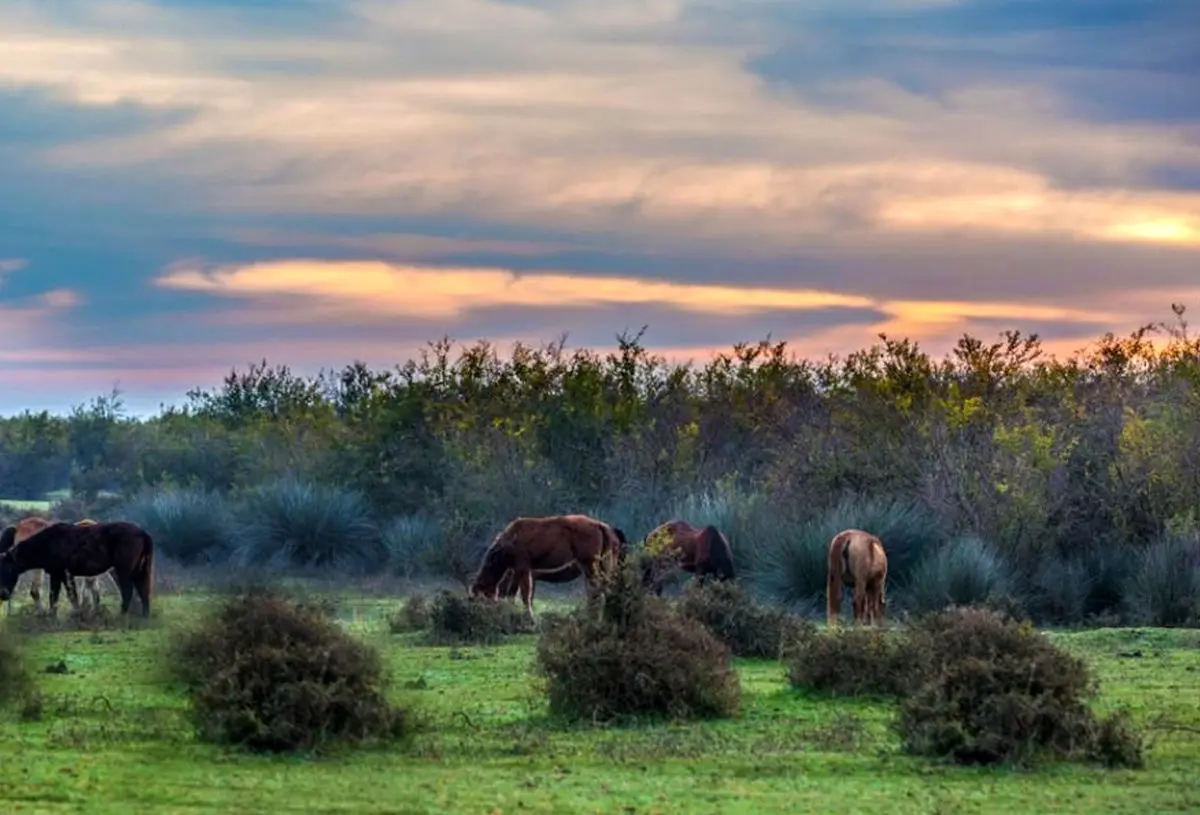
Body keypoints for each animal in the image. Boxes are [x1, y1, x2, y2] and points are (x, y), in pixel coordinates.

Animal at [0, 523, 154, 619]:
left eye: (8, 569)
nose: (3, 595)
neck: (46, 544)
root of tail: (144, 533)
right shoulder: (59, 574)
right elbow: (60, 596)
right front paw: (58, 616)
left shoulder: (62, 573)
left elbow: (65, 595)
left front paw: (70, 615)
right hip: (140, 569)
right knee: (143, 590)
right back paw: (145, 616)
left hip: (125, 570)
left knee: (128, 591)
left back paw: (121, 616)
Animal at [465, 513, 624, 619]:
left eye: (479, 599)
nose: (480, 615)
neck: (510, 541)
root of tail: (599, 525)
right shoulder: (519, 570)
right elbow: (514, 593)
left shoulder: (523, 568)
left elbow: (524, 594)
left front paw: (529, 617)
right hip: (601, 565)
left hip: (589, 565)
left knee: (595, 589)